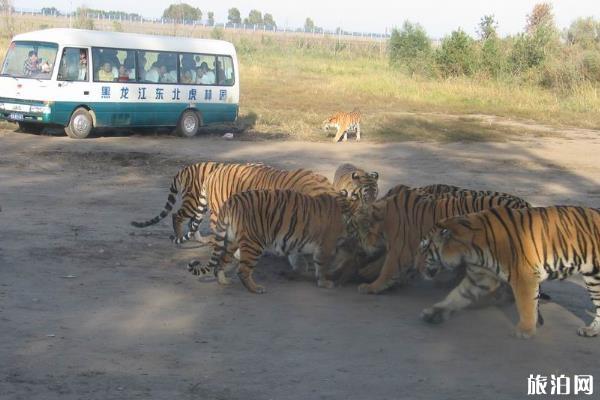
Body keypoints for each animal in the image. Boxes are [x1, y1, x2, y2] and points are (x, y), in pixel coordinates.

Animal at [188, 189, 352, 292]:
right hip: (254, 243)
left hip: (231, 240)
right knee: (243, 270)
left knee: (220, 263)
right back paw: (256, 289)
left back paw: (224, 281)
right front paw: (325, 282)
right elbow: (322, 266)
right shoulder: (326, 246)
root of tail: (231, 200)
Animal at [342, 188, 528, 294]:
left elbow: (386, 268)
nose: (347, 242)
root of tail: (525, 204)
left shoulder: (400, 250)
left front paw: (370, 286)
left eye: (352, 228)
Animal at [414, 205, 600, 340]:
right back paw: (590, 331)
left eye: (424, 249)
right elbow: (456, 296)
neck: (469, 250)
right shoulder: (480, 278)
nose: (416, 267)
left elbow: (526, 305)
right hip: (594, 278)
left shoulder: (524, 277)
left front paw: (524, 331)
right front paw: (434, 312)